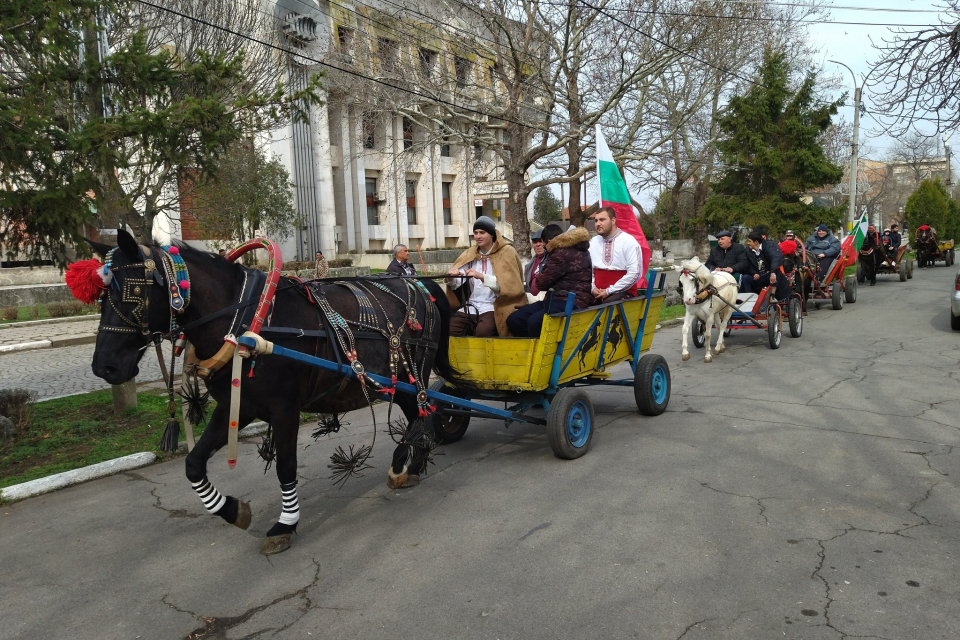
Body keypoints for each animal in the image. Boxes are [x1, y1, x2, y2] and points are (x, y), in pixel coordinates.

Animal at [87, 231, 458, 556]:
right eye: (102, 298)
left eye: (132, 293)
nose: (104, 367)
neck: (246, 322)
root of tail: (420, 283)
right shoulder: (237, 406)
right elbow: (193, 464)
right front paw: (232, 510)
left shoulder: (285, 411)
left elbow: (286, 467)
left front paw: (284, 525)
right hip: (405, 382)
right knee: (419, 415)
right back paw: (412, 466)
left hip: (414, 373)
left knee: (421, 415)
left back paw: (402, 462)